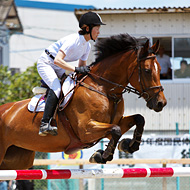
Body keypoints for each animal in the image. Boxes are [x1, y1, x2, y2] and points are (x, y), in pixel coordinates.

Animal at [0, 33, 166, 169]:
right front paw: (101, 156)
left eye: (159, 69)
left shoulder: (111, 124)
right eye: (147, 71)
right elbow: (116, 130)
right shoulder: (86, 129)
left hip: (18, 158)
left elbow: (138, 119)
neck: (103, 88)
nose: (161, 103)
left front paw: (127, 146)